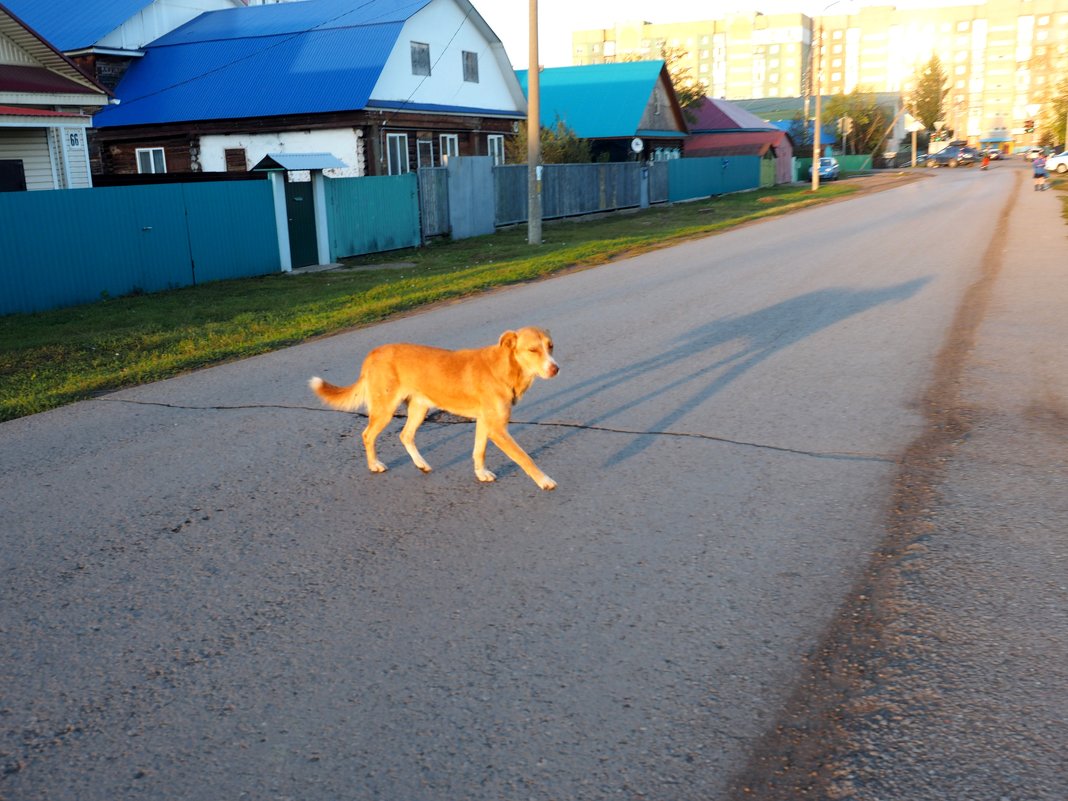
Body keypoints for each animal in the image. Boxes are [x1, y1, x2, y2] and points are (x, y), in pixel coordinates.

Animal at [309, 326, 559, 489]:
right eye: (533, 350)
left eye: (550, 347)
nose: (555, 369)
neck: (504, 368)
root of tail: (373, 353)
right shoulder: (498, 429)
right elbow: (524, 457)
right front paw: (544, 481)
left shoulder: (485, 422)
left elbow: (479, 451)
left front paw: (481, 473)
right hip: (385, 409)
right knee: (368, 435)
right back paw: (374, 465)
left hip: (419, 408)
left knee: (405, 435)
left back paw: (421, 464)